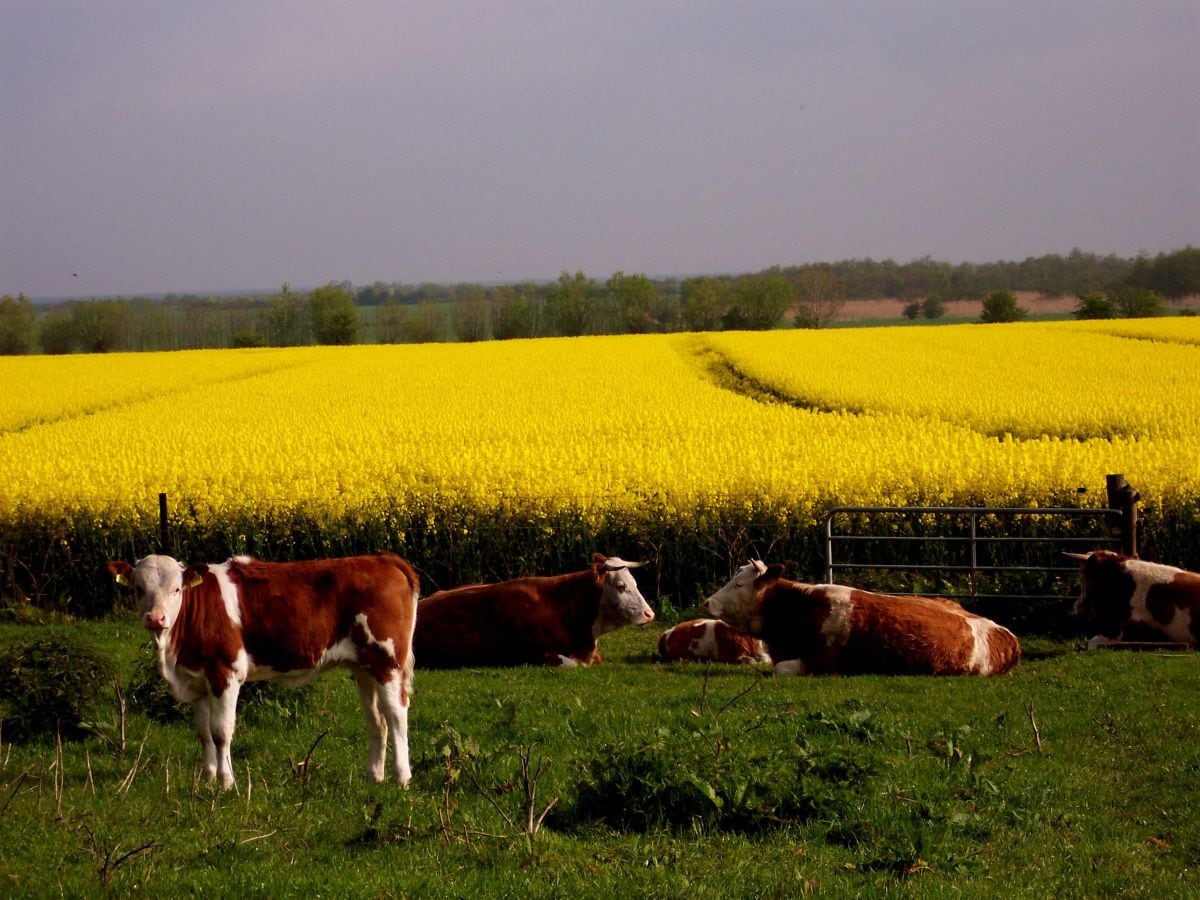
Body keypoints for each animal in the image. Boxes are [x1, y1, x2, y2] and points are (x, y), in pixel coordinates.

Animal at [109, 554, 417, 792]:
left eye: (176, 589)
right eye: (138, 588)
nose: (155, 618)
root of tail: (381, 559)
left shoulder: (225, 672)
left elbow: (221, 731)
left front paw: (226, 782)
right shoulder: (198, 681)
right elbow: (203, 732)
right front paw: (208, 778)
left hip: (387, 659)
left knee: (396, 714)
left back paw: (402, 777)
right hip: (364, 666)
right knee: (377, 720)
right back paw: (374, 777)